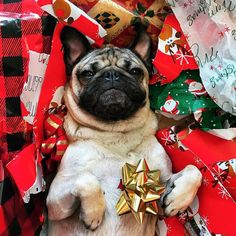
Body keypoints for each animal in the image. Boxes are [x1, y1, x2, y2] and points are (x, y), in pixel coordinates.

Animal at [46, 26, 203, 236]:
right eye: (87, 73)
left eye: (135, 71)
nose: (112, 74)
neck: (116, 132)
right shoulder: (55, 198)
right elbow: (86, 179)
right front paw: (93, 214)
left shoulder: (158, 186)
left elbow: (194, 170)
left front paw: (177, 201)